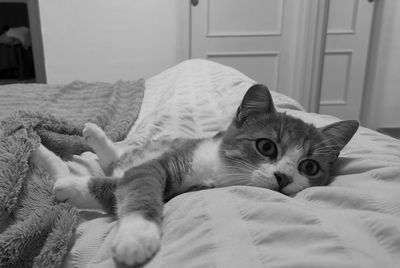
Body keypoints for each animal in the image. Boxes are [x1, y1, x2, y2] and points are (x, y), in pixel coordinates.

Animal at [31, 84, 360, 266]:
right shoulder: (164, 164)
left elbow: (116, 186)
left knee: (110, 165)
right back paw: (65, 142)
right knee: (115, 161)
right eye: (266, 146)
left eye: (309, 167)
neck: (219, 172)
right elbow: (139, 184)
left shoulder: (184, 189)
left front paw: (74, 188)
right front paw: (137, 233)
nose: (284, 177)